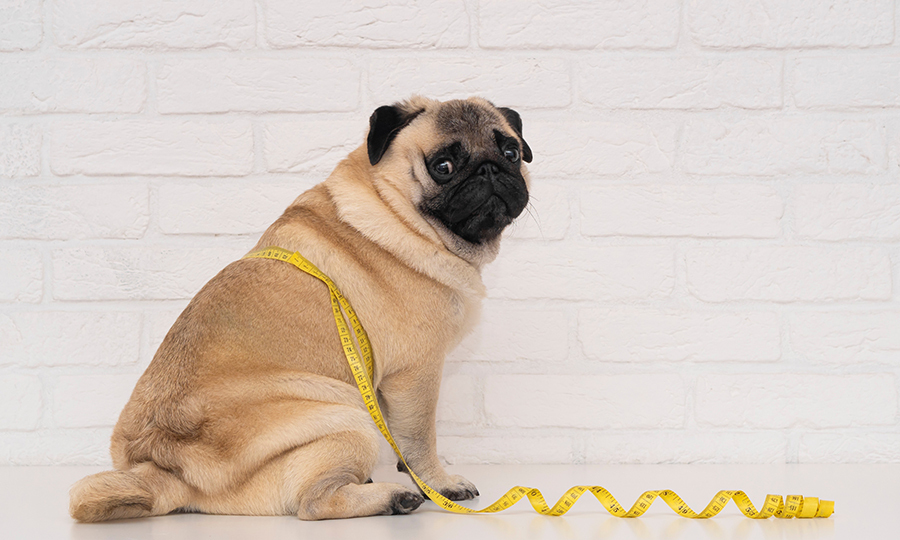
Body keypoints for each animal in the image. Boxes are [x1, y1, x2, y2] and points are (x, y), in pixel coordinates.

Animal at [72, 95, 536, 520]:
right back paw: (392, 497)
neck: (395, 209)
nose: (491, 169)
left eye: (511, 152)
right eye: (443, 166)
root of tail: (164, 470)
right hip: (350, 416)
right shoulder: (417, 372)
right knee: (313, 504)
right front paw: (439, 484)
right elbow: (421, 440)